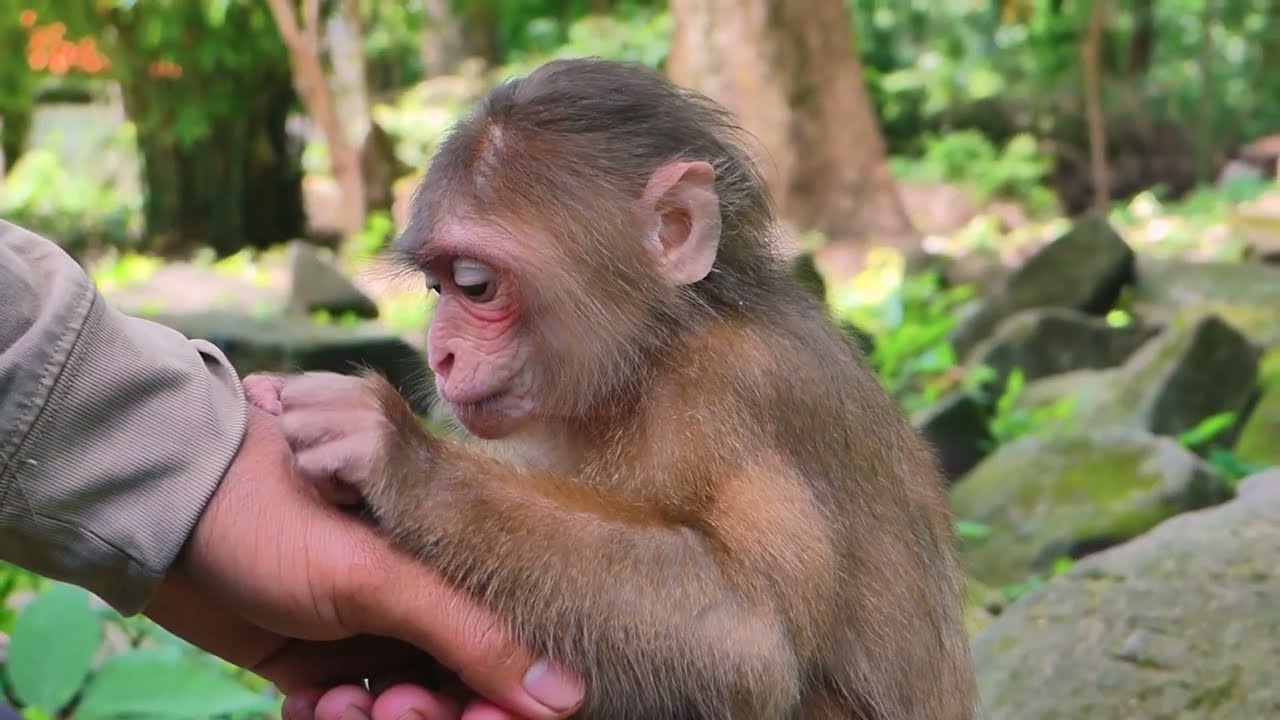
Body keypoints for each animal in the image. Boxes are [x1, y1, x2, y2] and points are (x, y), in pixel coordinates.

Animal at [249, 57, 976, 720]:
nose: (440, 353)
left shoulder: (737, 393)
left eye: (475, 286)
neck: (648, 362)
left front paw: (397, 452)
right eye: (437, 287)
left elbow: (753, 650)